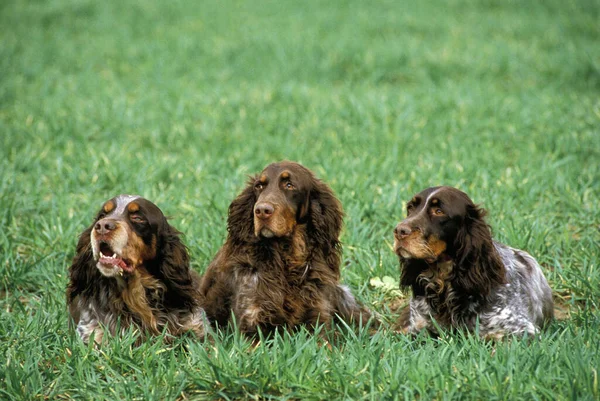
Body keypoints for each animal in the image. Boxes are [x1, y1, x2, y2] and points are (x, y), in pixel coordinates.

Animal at [199, 160, 372, 334]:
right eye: (259, 186)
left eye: (289, 185)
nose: (261, 210)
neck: (287, 260)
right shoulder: (250, 322)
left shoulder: (318, 319)